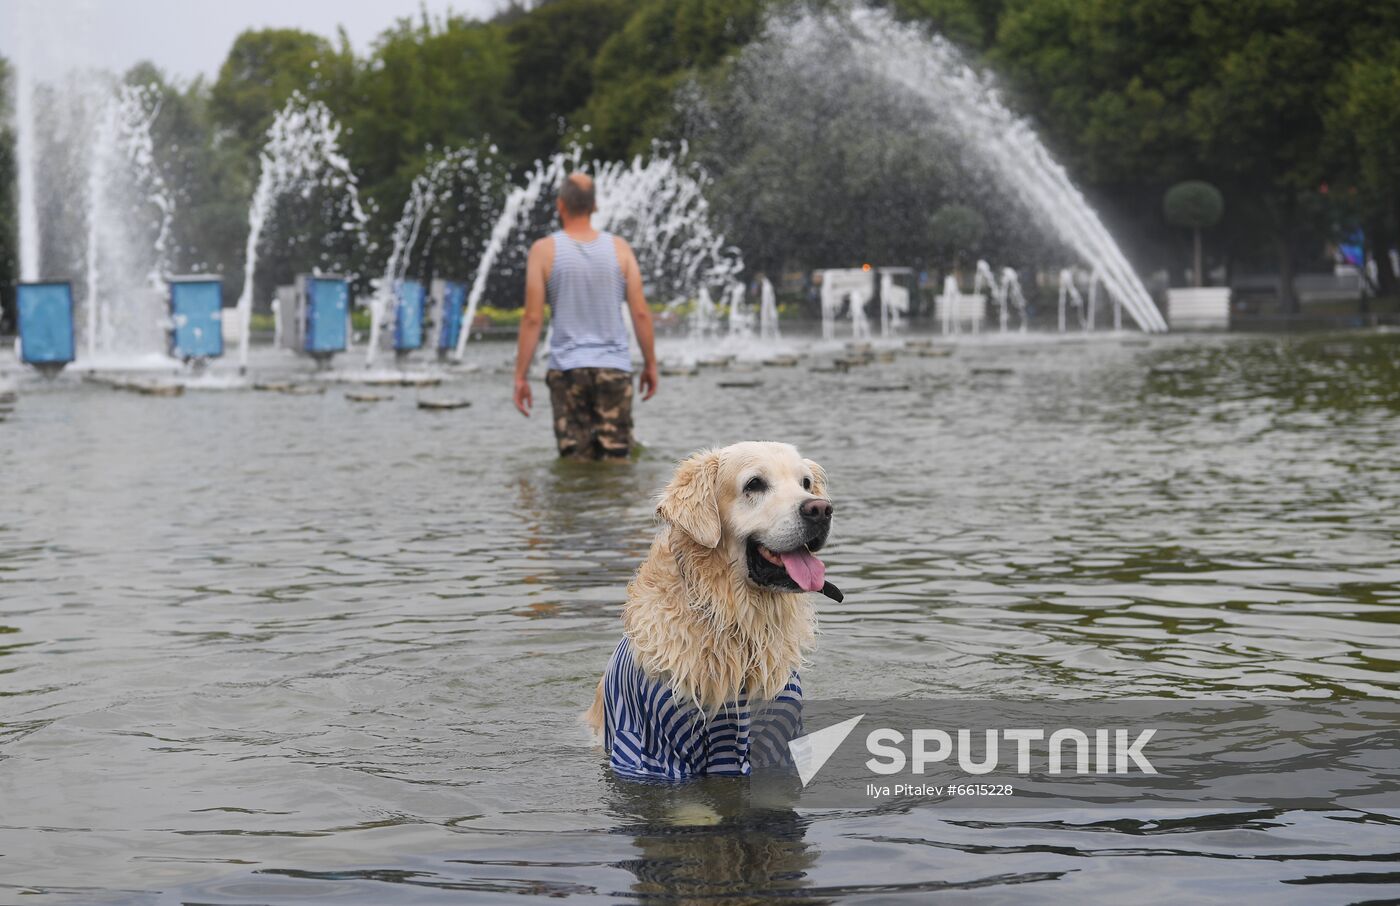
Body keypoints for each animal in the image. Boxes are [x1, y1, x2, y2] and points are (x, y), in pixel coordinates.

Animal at [585, 442, 834, 778]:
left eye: (805, 483)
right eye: (754, 484)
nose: (820, 509)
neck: (738, 623)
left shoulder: (777, 742)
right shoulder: (654, 748)